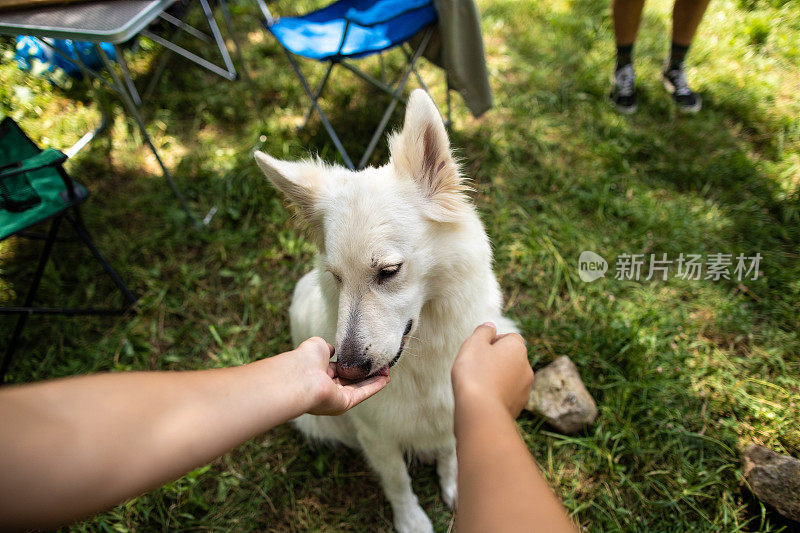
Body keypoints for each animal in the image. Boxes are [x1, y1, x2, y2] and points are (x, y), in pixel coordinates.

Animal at [256, 89, 520, 528]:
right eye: (336, 276)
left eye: (388, 271)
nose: (347, 370)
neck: (422, 359)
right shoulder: (375, 434)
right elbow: (397, 480)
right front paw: (411, 521)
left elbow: (451, 451)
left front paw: (454, 485)